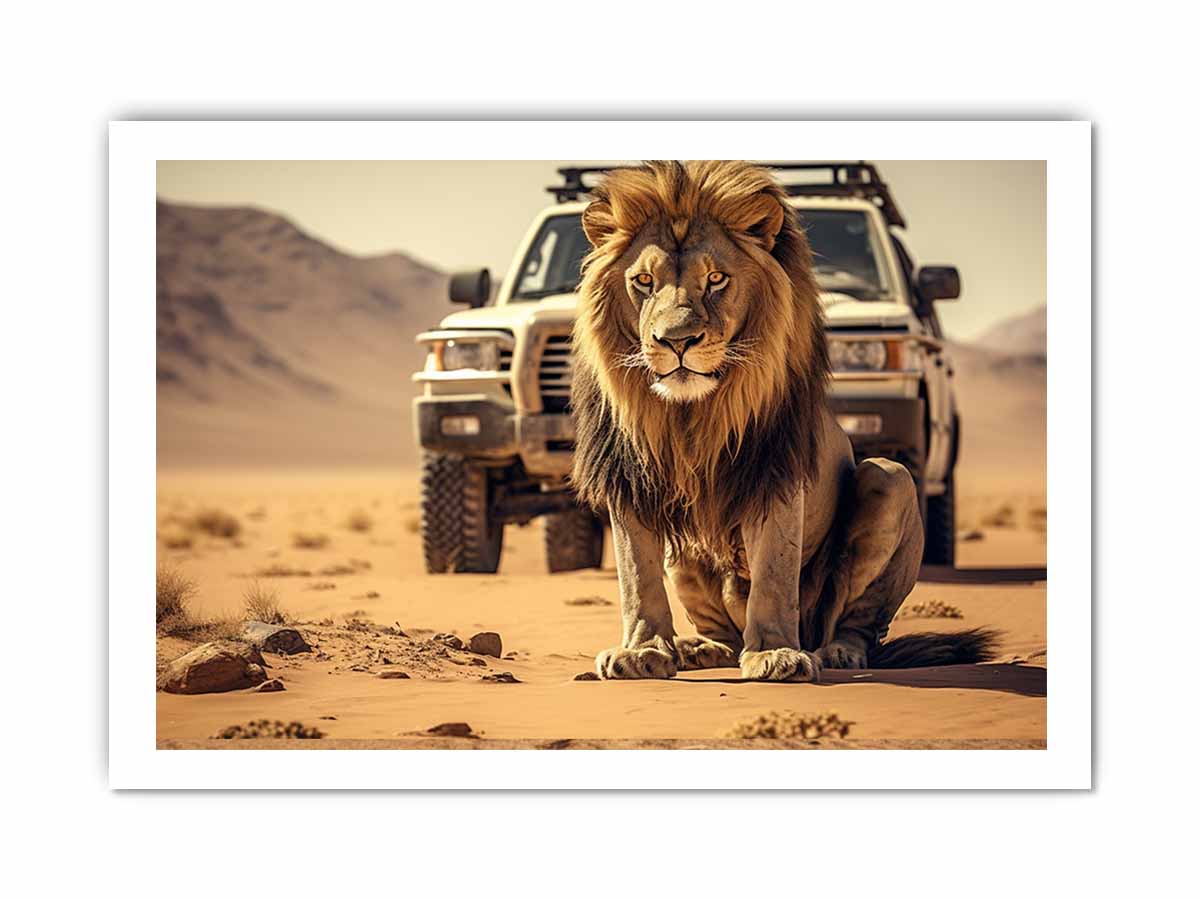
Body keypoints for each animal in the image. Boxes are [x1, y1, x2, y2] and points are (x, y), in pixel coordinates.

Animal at [570, 160, 995, 681]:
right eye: (644, 282)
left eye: (716, 279)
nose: (676, 341)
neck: (693, 413)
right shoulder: (630, 477)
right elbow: (636, 575)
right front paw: (643, 651)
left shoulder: (777, 469)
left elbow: (774, 571)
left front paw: (775, 653)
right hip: (686, 554)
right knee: (725, 633)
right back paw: (700, 649)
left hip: (890, 480)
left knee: (858, 620)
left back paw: (836, 652)